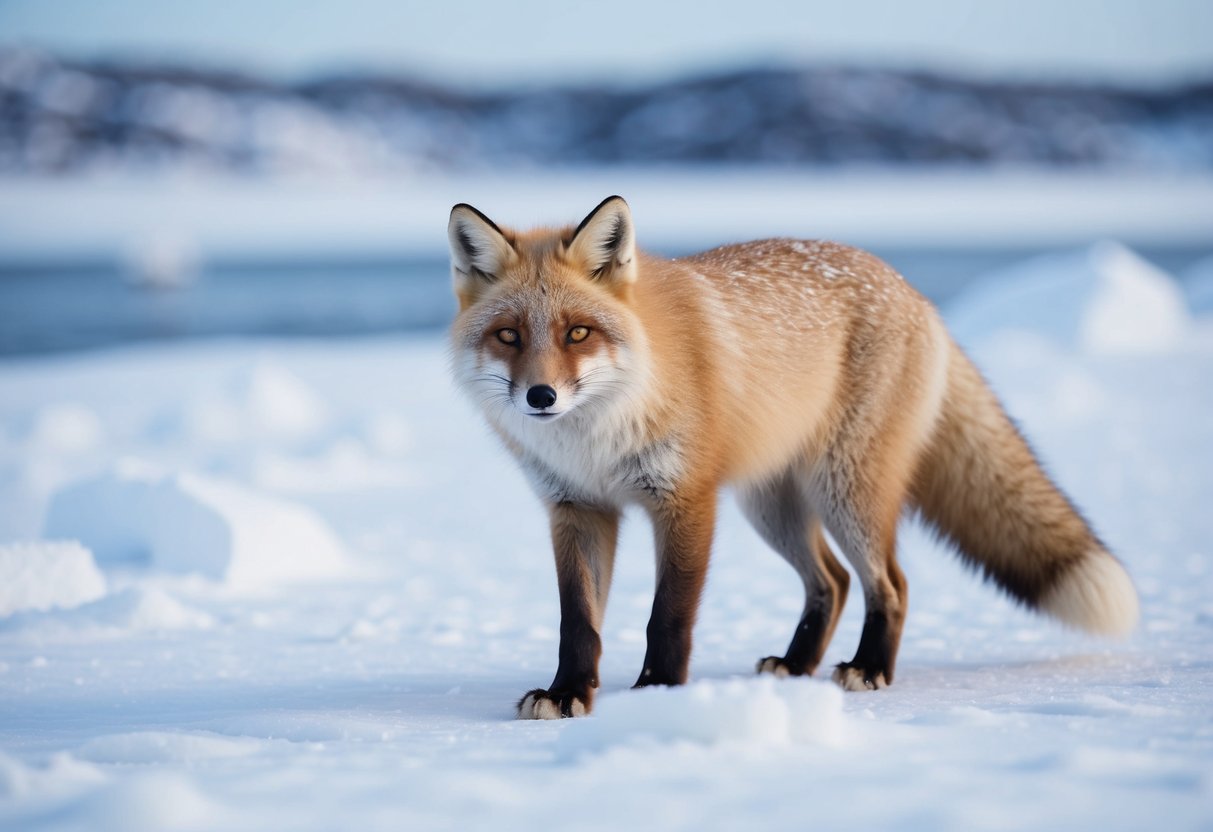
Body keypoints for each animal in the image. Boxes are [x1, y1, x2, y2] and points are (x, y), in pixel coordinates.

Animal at [447, 195, 1140, 720]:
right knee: (831, 582)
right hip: (771, 506)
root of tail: (915, 293)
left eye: (578, 333)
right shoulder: (578, 508)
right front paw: (567, 693)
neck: (596, 439)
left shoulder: (686, 500)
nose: (541, 396)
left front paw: (658, 695)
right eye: (508, 335)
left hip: (844, 492)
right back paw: (798, 664)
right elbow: (578, 621)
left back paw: (868, 669)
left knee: (889, 583)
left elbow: (667, 616)